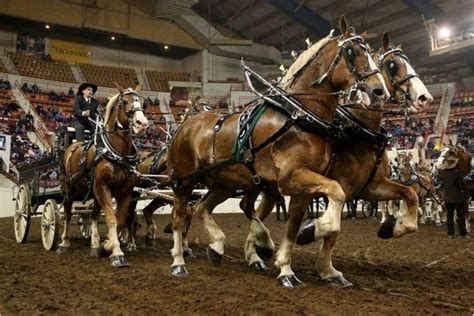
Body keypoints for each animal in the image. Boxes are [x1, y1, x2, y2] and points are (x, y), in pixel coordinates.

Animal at [58, 84, 149, 266]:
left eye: (141, 102)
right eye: (124, 102)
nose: (142, 124)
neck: (116, 153)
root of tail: (72, 146)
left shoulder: (125, 191)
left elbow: (120, 219)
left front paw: (105, 245)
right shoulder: (103, 187)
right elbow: (111, 218)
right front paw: (117, 253)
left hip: (92, 192)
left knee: (92, 216)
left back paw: (94, 243)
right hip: (69, 188)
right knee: (67, 213)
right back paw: (63, 243)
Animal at [167, 17, 388, 288]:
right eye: (351, 52)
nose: (379, 91)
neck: (300, 115)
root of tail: (185, 124)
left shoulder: (305, 185)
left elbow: (294, 225)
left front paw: (285, 265)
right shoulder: (290, 178)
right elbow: (336, 192)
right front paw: (315, 229)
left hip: (224, 183)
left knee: (200, 208)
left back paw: (217, 247)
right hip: (184, 182)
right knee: (179, 217)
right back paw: (178, 261)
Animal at [243, 32, 432, 278]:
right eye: (393, 64)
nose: (425, 98)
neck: (358, 128)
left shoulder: (372, 186)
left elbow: (410, 195)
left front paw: (392, 226)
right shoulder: (343, 185)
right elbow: (332, 229)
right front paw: (315, 243)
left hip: (269, 189)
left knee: (253, 210)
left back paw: (255, 251)